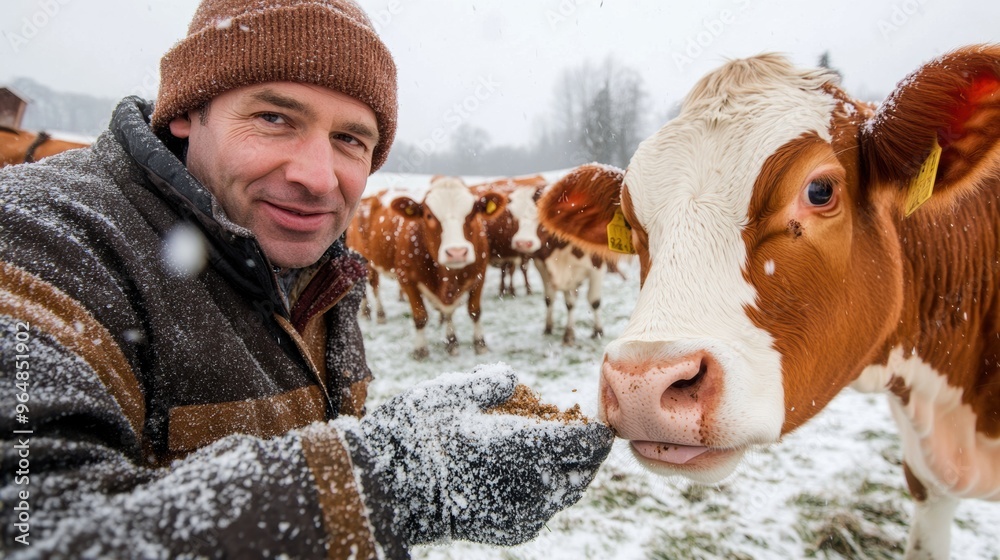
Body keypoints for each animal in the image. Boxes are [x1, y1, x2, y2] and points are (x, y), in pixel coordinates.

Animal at [352, 176, 508, 358]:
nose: (457, 252)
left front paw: (467, 343)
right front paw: (421, 349)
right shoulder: (406, 278)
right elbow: (420, 316)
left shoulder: (479, 274)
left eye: (472, 213)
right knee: (373, 287)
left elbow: (473, 311)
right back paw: (375, 313)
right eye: (428, 215)